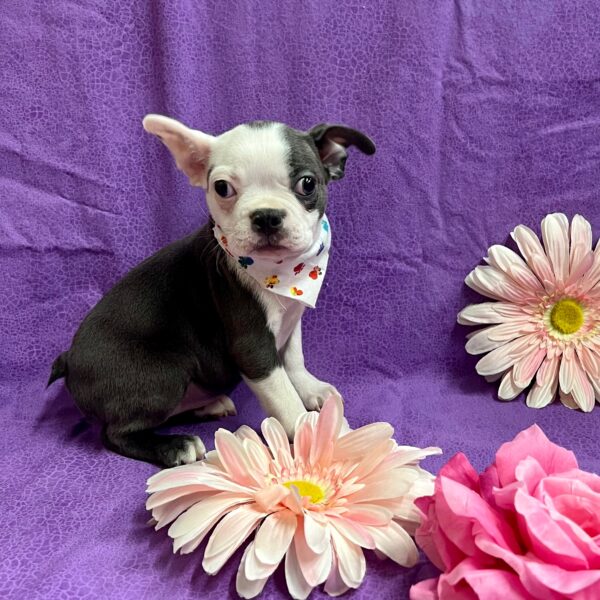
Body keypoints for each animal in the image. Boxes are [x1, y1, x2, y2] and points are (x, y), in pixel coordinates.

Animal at [48, 115, 376, 466]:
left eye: (308, 184)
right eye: (222, 188)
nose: (266, 216)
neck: (281, 273)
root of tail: (68, 360)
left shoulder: (292, 316)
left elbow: (294, 358)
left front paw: (310, 388)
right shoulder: (253, 349)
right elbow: (285, 398)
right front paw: (319, 438)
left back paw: (208, 405)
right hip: (164, 371)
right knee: (117, 431)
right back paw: (175, 445)